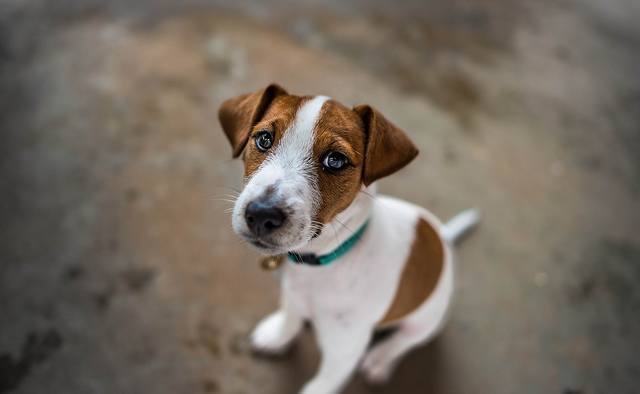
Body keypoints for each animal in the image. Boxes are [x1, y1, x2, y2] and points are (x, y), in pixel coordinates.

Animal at [218, 84, 478, 394]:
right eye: (264, 139)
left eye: (335, 160)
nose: (261, 214)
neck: (325, 260)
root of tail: (444, 238)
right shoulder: (293, 294)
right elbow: (291, 316)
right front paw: (278, 335)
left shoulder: (344, 352)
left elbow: (321, 385)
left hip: (425, 319)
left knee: (405, 341)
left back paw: (379, 360)